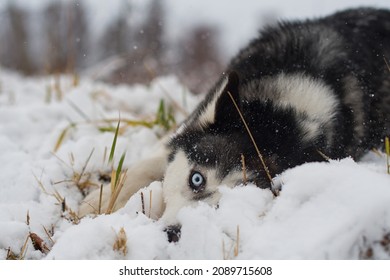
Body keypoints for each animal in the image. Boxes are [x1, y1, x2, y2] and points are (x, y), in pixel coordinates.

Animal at [80, 7, 390, 238]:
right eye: (197, 179)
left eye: (233, 201)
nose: (174, 233)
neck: (277, 110)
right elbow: (143, 167)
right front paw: (97, 204)